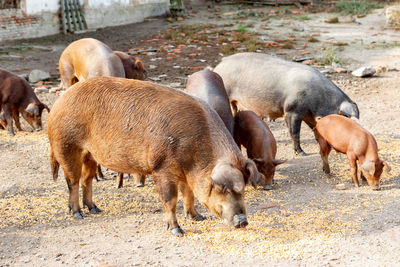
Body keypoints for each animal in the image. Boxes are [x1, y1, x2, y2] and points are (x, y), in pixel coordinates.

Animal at [47, 77, 262, 237]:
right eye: (222, 188)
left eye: (243, 188)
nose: (243, 222)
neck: (196, 156)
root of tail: (58, 104)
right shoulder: (162, 167)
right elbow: (171, 199)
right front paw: (177, 231)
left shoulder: (185, 173)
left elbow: (189, 194)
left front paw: (198, 217)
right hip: (67, 145)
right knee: (72, 181)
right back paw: (78, 214)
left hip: (91, 154)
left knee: (87, 180)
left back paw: (95, 209)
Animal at [214, 52, 360, 156]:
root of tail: (219, 65)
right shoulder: (292, 111)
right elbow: (294, 133)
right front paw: (302, 153)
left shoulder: (308, 115)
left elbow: (316, 130)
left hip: (234, 102)